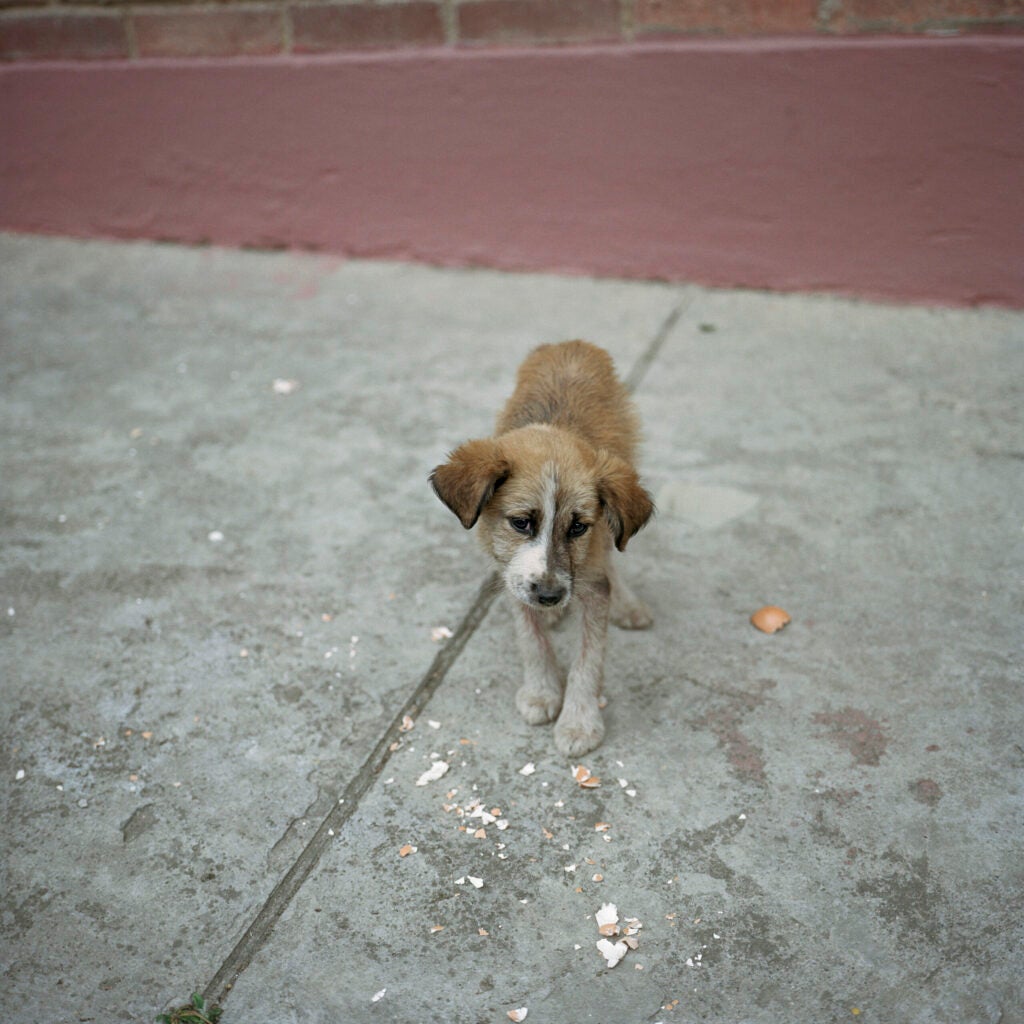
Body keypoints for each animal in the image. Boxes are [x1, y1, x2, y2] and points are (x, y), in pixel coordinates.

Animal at [428, 339, 651, 757]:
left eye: (578, 527)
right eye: (521, 522)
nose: (549, 596)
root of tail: (573, 343)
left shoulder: (592, 581)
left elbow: (588, 659)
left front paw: (579, 722)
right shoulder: (512, 575)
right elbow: (530, 639)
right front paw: (542, 692)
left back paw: (628, 605)